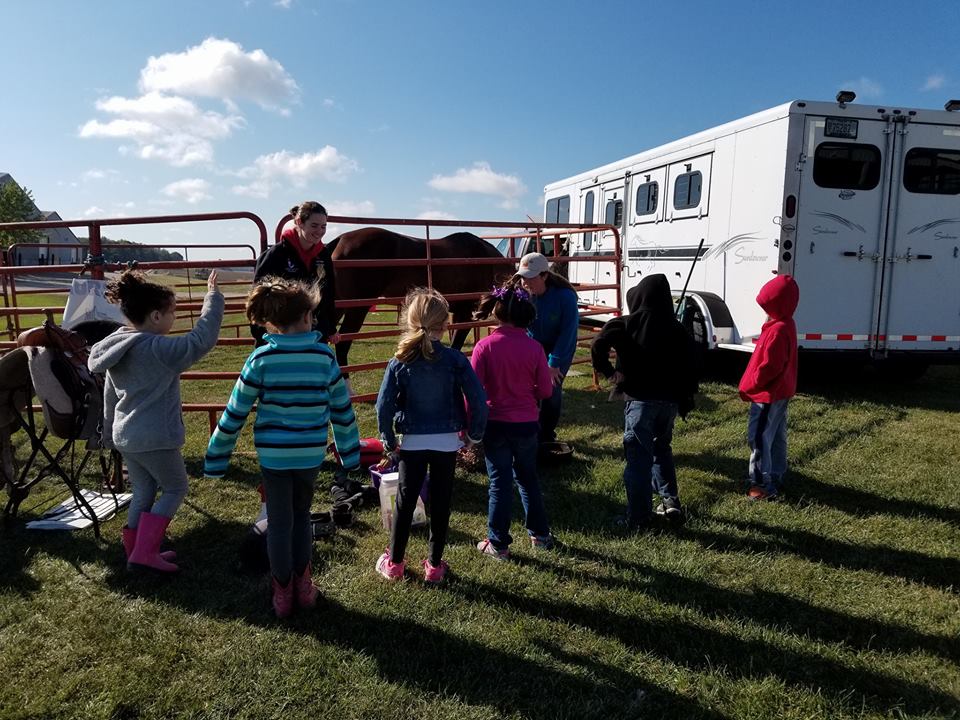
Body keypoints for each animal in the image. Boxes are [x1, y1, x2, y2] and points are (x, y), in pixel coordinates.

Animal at [326, 228, 510, 368]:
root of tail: (340, 239)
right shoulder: (465, 313)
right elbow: (456, 345)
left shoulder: (458, 313)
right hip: (356, 308)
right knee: (342, 344)